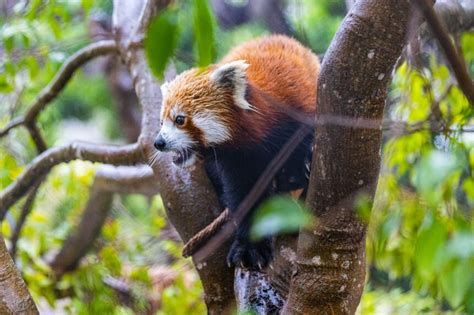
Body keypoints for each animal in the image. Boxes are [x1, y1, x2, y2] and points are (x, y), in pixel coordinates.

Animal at [156, 35, 318, 270]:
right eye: (161, 122)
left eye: (180, 119)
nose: (158, 143)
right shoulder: (237, 162)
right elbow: (244, 195)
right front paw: (250, 247)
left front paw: (301, 168)